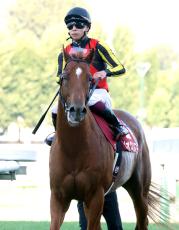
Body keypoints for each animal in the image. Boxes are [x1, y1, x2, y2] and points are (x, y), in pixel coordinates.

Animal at [49, 49, 166, 230]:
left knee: (142, 219)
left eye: (90, 78)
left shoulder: (95, 195)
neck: (74, 150)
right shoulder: (58, 196)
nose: (77, 110)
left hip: (139, 190)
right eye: (64, 76)